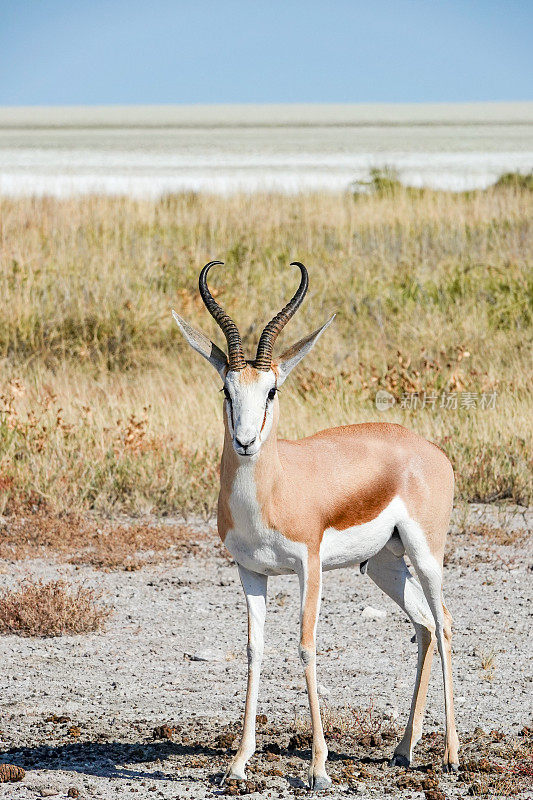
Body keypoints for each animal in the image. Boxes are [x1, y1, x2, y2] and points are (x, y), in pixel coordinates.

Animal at [172, 260, 460, 788]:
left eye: (272, 389)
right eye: (226, 389)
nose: (245, 441)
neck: (273, 489)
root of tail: (428, 448)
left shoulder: (310, 566)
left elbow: (306, 646)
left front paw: (319, 768)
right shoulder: (250, 572)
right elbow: (254, 649)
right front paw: (238, 763)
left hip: (427, 555)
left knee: (445, 622)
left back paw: (449, 754)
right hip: (385, 566)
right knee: (425, 625)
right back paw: (403, 750)